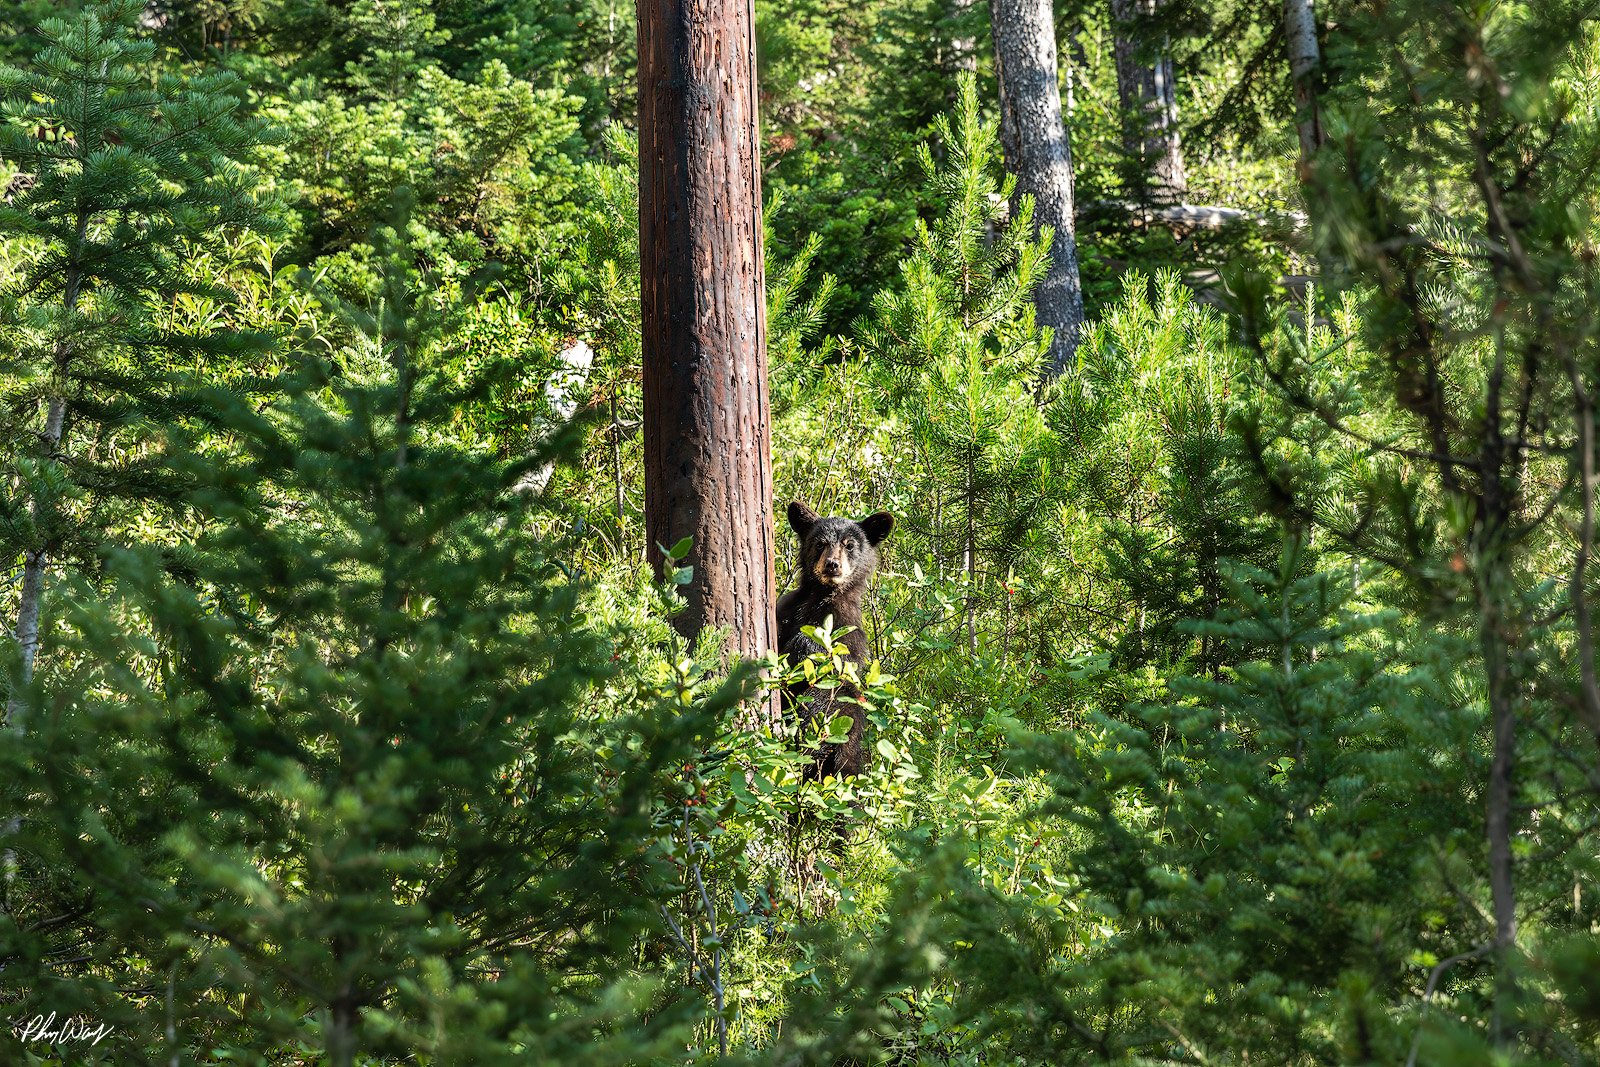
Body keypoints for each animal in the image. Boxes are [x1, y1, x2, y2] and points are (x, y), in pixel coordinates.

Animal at [776, 500, 894, 785]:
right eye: (820, 543)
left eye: (849, 545)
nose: (832, 565)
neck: (821, 597)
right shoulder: (787, 608)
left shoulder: (846, 628)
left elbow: (828, 657)